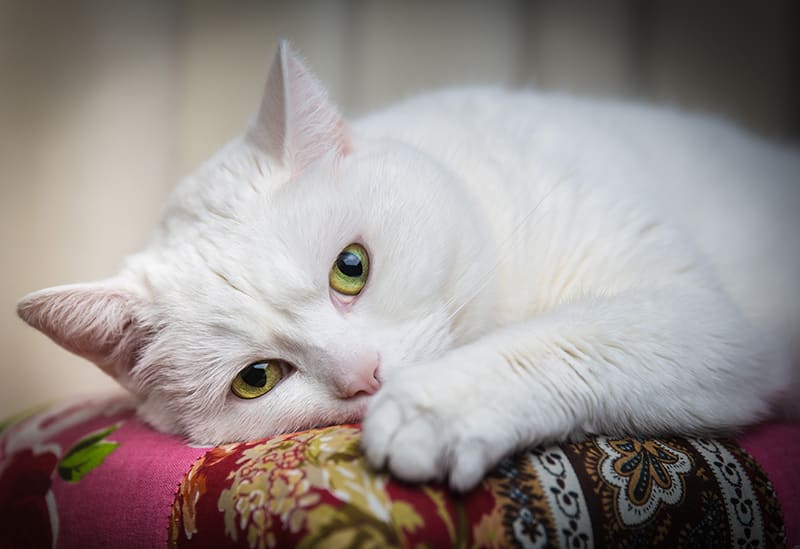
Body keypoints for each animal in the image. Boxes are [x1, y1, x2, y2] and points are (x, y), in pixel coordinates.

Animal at [15, 42, 796, 488]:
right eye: (256, 379)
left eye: (351, 266)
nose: (366, 376)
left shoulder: (699, 319)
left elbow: (562, 340)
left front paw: (436, 409)